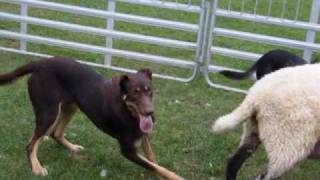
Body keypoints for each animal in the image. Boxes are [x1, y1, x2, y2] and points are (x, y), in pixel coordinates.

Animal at [0, 57, 184, 179]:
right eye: (134, 93)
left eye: (149, 90)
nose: (150, 113)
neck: (128, 111)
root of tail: (39, 63)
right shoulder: (128, 150)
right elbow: (156, 166)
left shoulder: (143, 135)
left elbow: (154, 162)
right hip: (49, 112)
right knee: (31, 144)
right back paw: (36, 167)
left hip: (70, 107)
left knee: (54, 133)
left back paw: (72, 147)